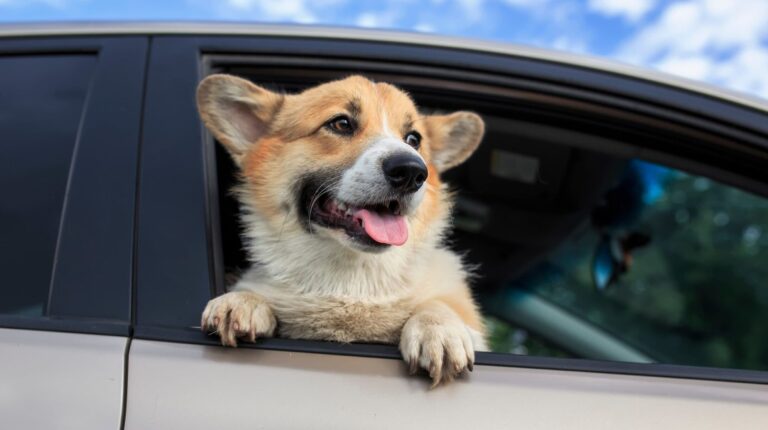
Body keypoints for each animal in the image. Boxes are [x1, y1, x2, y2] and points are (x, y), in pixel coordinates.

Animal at [198, 74, 486, 386]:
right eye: (341, 123)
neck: (351, 280)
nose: (411, 171)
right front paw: (242, 301)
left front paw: (438, 329)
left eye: (414, 139)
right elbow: (254, 293)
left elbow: (437, 305)